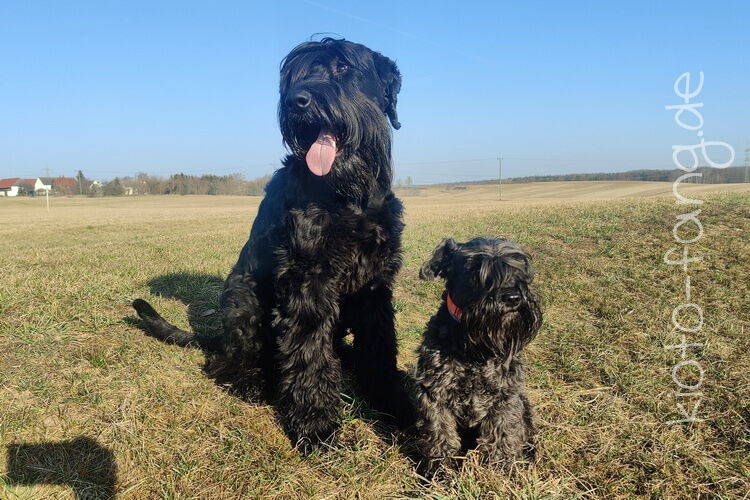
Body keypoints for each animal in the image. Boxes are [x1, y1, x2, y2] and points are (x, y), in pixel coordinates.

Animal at [132, 38, 412, 452]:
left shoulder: (375, 282)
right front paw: (316, 424)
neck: (347, 195)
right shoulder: (309, 279)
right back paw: (251, 381)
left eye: (343, 67)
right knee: (229, 362)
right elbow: (308, 352)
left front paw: (393, 402)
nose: (297, 101)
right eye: (294, 77)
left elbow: (380, 347)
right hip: (243, 301)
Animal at [415, 237, 542, 473]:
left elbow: (502, 433)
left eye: (519, 266)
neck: (475, 350)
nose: (512, 297)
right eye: (474, 269)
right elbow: (440, 434)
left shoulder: (505, 397)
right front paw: (441, 470)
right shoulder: (435, 394)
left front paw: (498, 470)